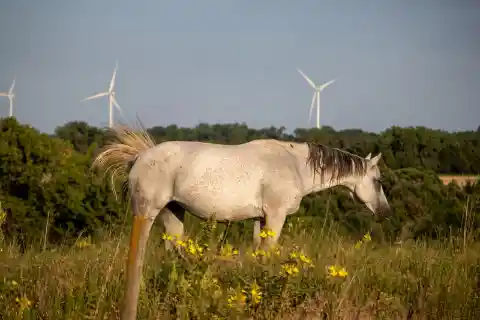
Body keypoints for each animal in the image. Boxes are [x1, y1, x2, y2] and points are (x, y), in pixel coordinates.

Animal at [92, 124, 392, 320]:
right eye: (378, 181)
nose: (386, 213)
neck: (294, 164)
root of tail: (138, 157)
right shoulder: (275, 216)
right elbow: (269, 255)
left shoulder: (260, 219)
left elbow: (259, 256)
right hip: (147, 213)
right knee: (137, 258)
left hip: (173, 214)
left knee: (173, 254)